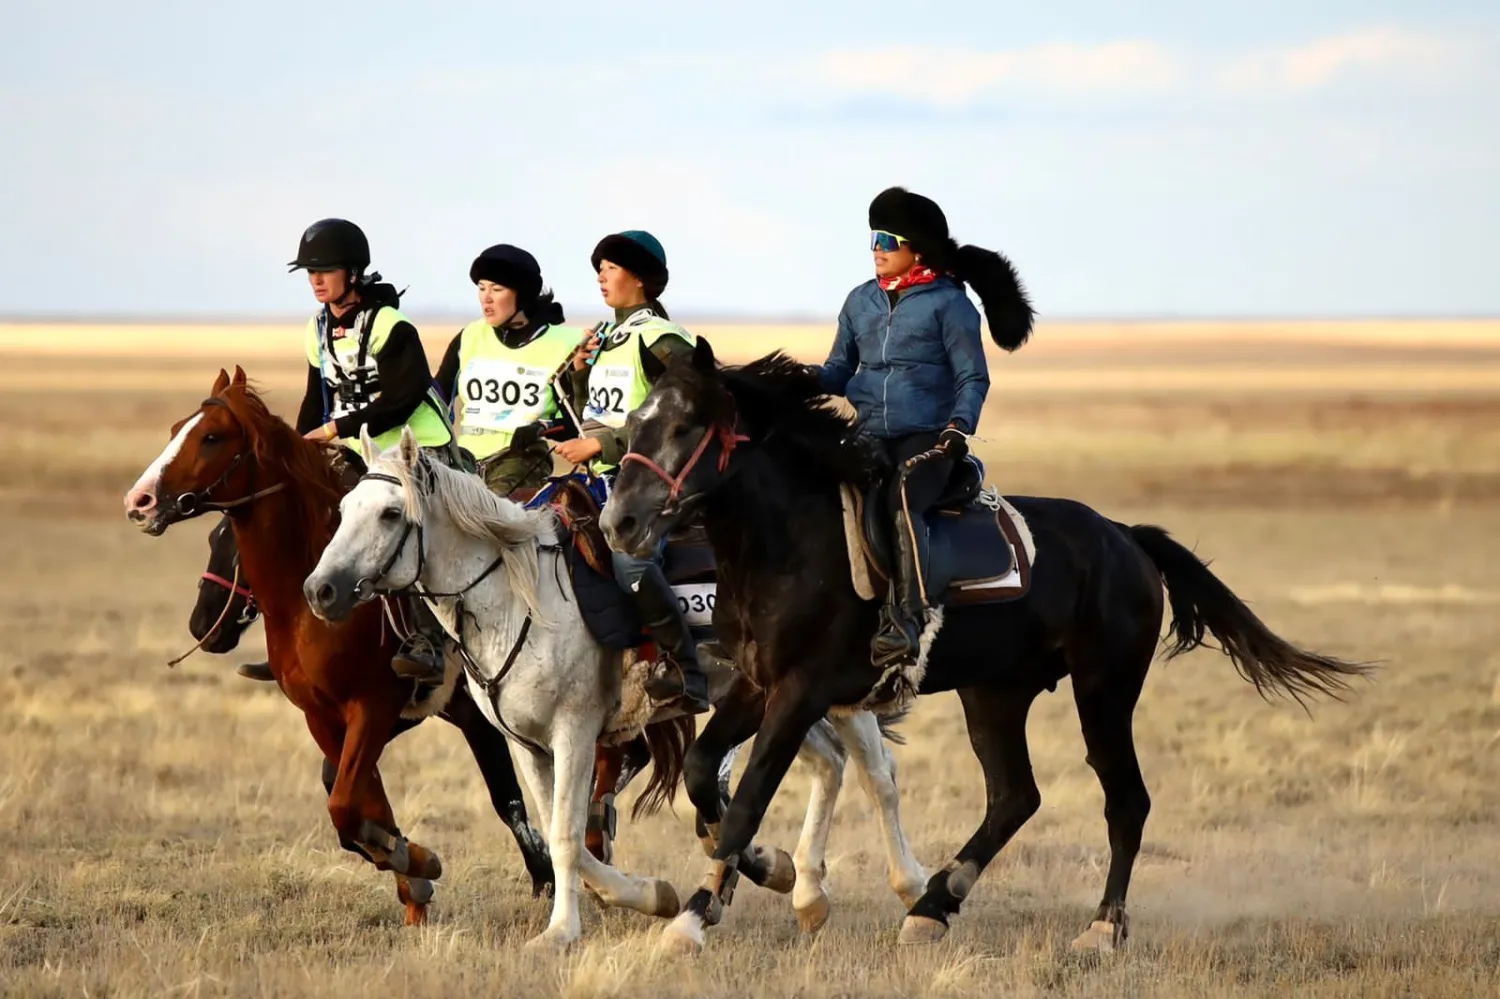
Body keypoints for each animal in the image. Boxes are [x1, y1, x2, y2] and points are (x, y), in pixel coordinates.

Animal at [190, 516, 555, 888]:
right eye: (211, 540)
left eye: (237, 556)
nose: (201, 625)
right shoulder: (398, 713)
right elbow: (334, 777)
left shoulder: (467, 716)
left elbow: (507, 798)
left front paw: (544, 873)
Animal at [301, 429, 924, 942]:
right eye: (343, 508)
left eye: (389, 513)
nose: (321, 590)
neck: (519, 599)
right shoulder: (525, 744)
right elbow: (566, 836)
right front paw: (650, 896)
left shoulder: (574, 734)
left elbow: (565, 836)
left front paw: (560, 932)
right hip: (776, 701)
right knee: (831, 766)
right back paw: (799, 885)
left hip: (824, 693)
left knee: (879, 777)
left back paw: (910, 889)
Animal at [600, 346, 1374, 954]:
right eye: (634, 425)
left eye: (684, 426)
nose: (620, 522)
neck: (793, 540)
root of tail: (1124, 537)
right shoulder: (753, 685)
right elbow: (705, 775)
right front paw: (759, 870)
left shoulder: (800, 692)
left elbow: (750, 795)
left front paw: (693, 920)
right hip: (995, 695)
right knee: (1014, 795)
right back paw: (935, 904)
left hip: (1104, 690)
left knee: (1124, 800)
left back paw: (1100, 927)